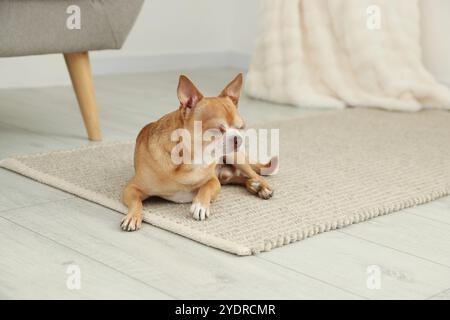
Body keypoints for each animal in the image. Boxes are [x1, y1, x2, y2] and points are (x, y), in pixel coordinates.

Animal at [120, 74, 274, 231]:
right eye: (217, 130)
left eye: (240, 128)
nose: (238, 138)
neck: (191, 160)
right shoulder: (131, 188)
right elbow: (136, 202)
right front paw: (133, 216)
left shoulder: (214, 181)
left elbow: (207, 186)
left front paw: (200, 206)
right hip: (227, 174)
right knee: (236, 178)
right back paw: (253, 185)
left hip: (235, 158)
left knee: (255, 175)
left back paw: (262, 187)